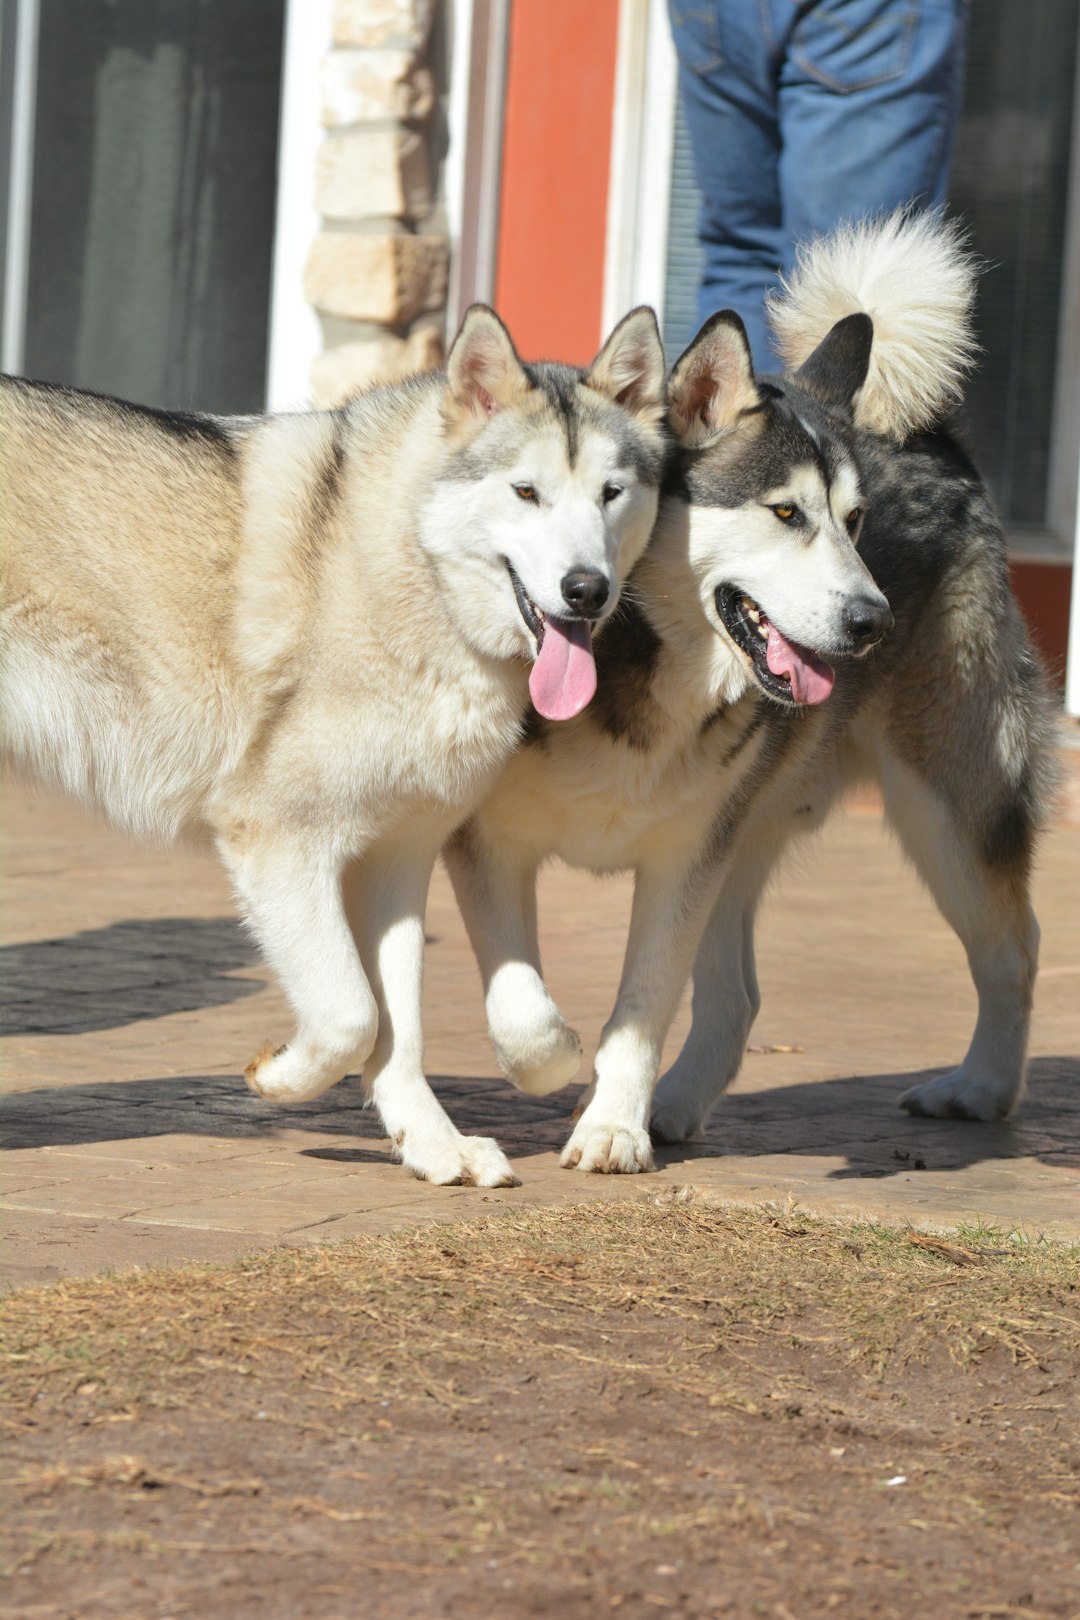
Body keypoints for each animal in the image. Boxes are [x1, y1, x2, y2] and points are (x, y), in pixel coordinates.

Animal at [0, 306, 670, 1192]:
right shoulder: (281, 843)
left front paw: (436, 1145)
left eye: (610, 495)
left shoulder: (395, 863)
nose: (586, 590)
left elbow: (410, 1032)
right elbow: (353, 1015)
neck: (404, 571)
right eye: (527, 492)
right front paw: (281, 1074)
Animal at [446, 215, 1055, 1179]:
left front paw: (612, 1126)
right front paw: (563, 1069)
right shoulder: (490, 843)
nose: (872, 620)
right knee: (739, 998)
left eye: (853, 521)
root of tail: (931, 437)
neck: (634, 653)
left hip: (948, 808)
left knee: (1013, 947)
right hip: (753, 833)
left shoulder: (681, 861)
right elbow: (521, 1009)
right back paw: (678, 1104)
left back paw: (982, 1087)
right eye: (785, 513)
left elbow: (643, 1004)